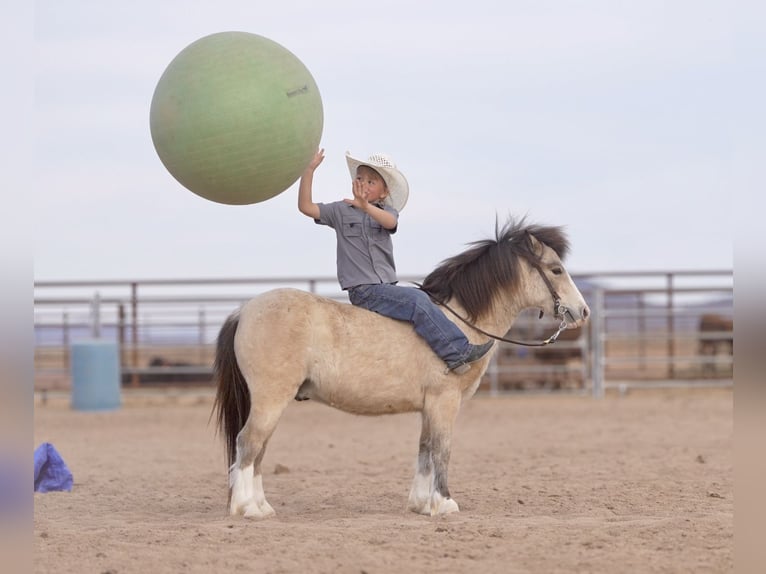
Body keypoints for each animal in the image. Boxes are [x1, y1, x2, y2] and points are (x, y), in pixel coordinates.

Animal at [212, 217, 590, 518]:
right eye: (556, 269)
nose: (582, 311)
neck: (459, 319)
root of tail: (243, 311)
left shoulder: (428, 407)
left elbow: (424, 450)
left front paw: (422, 504)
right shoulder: (444, 402)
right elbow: (442, 450)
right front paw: (445, 504)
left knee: (258, 450)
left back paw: (262, 506)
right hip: (271, 399)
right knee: (248, 443)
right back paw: (247, 508)